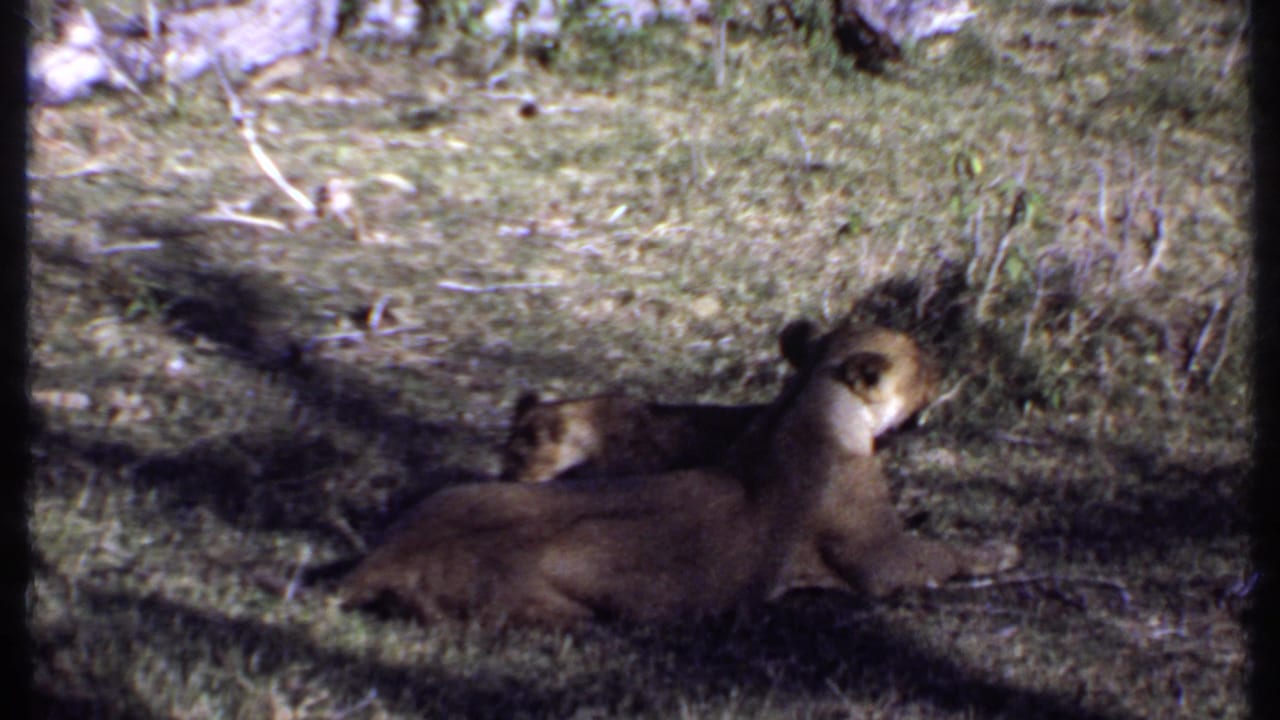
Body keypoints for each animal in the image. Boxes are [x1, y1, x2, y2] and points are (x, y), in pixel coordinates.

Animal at [340, 320, 1019, 625]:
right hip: (557, 606)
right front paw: (1001, 550)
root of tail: (383, 560)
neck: (804, 406)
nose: (946, 365)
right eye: (923, 363)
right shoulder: (876, 560)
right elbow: (940, 554)